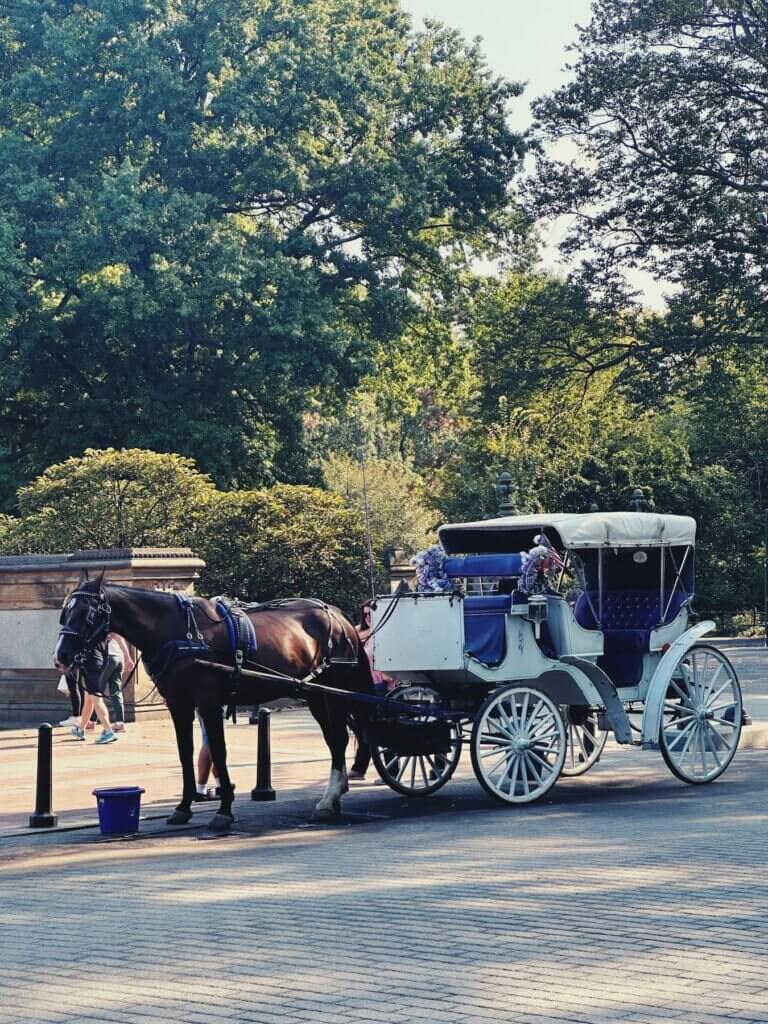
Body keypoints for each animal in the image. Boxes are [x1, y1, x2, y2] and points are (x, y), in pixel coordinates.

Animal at [53, 573, 376, 827]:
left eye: (87, 614)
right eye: (64, 613)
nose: (61, 656)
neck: (177, 631)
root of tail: (338, 616)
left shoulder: (208, 703)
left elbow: (219, 753)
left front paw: (224, 810)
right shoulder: (179, 704)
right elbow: (185, 754)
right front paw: (183, 807)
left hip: (332, 692)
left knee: (338, 739)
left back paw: (328, 799)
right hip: (315, 694)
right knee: (335, 740)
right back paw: (333, 797)